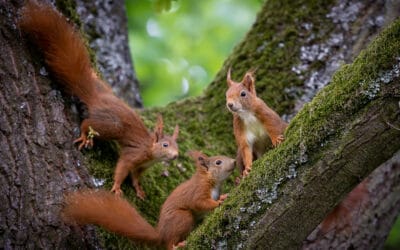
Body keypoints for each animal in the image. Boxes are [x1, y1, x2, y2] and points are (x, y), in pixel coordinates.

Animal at [19, 0, 180, 199]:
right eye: (165, 144)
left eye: (177, 145)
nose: (176, 155)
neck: (150, 152)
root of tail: (95, 98)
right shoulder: (133, 154)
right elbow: (122, 168)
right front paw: (117, 187)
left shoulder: (141, 167)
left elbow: (135, 177)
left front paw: (139, 190)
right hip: (112, 126)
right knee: (87, 123)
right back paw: (83, 136)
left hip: (103, 90)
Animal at [63, 151, 236, 249]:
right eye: (218, 162)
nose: (235, 162)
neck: (211, 180)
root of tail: (161, 234)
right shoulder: (198, 190)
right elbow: (199, 202)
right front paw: (219, 201)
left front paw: (223, 196)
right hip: (182, 218)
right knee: (169, 244)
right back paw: (176, 245)